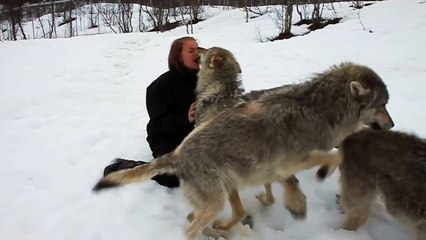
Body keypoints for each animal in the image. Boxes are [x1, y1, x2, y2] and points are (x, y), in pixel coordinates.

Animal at [95, 62, 394, 240]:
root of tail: (177, 155)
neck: (320, 111)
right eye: (383, 105)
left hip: (222, 193)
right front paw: (323, 173)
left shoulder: (273, 170)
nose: (392, 125)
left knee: (203, 218)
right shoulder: (290, 163)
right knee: (191, 228)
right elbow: (336, 155)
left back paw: (218, 231)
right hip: (216, 201)